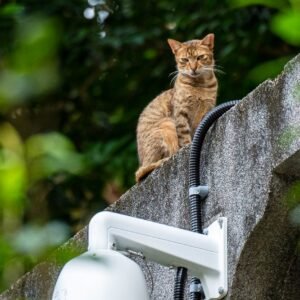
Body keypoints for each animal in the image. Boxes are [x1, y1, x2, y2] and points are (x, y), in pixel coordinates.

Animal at [136, 33, 218, 182]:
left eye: (200, 57)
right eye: (185, 60)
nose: (193, 68)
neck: (200, 85)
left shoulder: (207, 110)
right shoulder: (180, 113)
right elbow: (184, 135)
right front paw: (186, 146)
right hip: (166, 123)